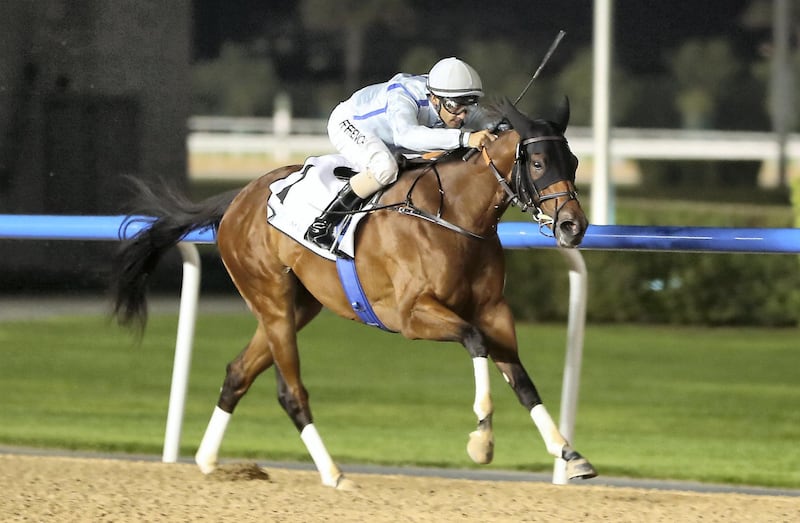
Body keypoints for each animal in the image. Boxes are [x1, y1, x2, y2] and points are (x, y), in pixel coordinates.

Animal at [111, 99, 592, 492]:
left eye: (573, 160)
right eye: (537, 162)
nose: (573, 226)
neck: (452, 215)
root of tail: (238, 199)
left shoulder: (494, 311)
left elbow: (522, 381)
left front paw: (571, 455)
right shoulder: (412, 316)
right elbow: (474, 342)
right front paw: (482, 440)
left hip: (296, 306)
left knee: (237, 373)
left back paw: (210, 461)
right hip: (271, 300)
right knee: (291, 393)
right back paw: (334, 474)